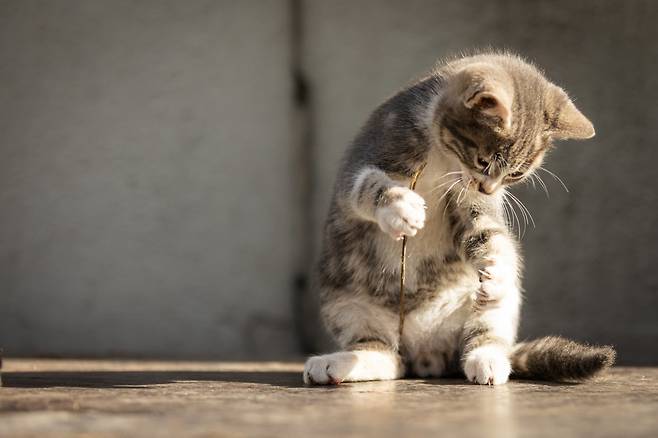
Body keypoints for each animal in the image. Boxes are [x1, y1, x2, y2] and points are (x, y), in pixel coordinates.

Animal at [304, 53, 616, 384]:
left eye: (515, 174)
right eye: (483, 161)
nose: (489, 188)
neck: (443, 160)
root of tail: (426, 353)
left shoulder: (472, 205)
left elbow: (489, 236)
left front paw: (496, 273)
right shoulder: (368, 154)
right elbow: (365, 187)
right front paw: (399, 207)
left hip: (493, 308)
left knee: (482, 334)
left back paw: (488, 359)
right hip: (347, 305)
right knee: (386, 354)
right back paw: (342, 362)